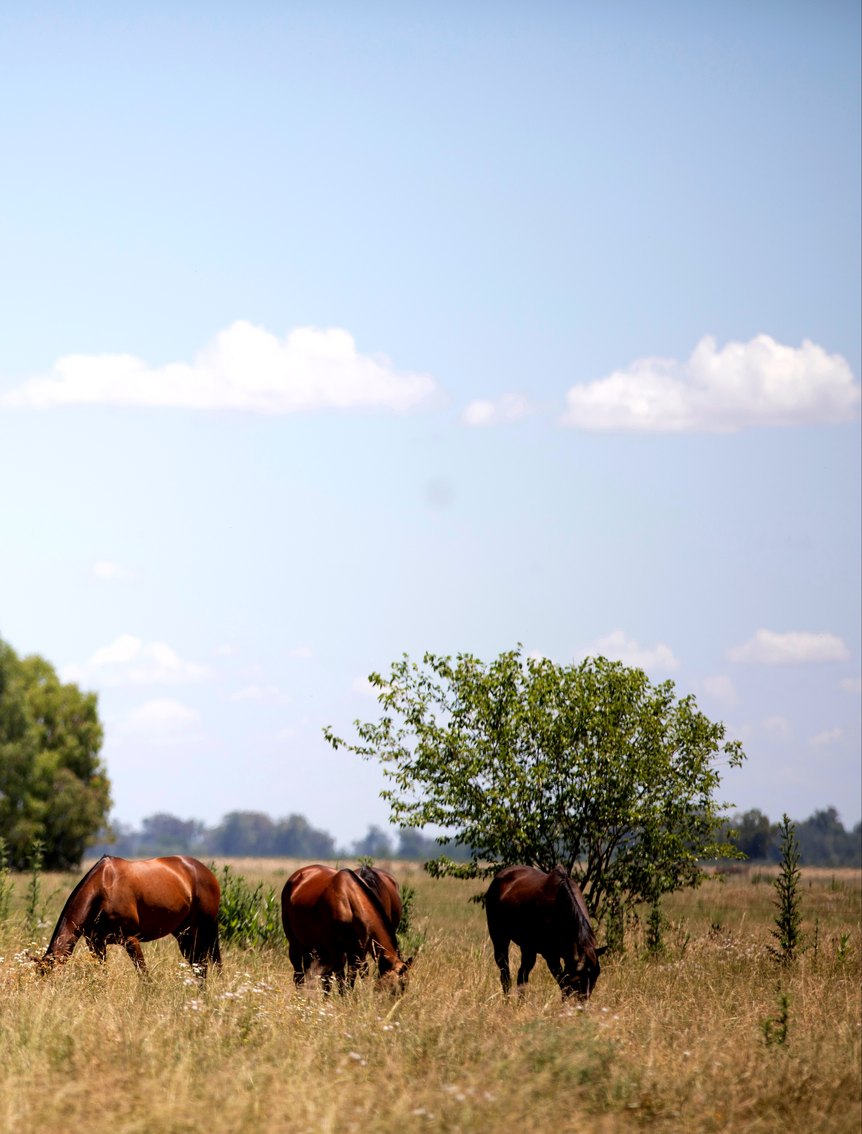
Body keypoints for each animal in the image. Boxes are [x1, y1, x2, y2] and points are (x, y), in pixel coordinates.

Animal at [38, 855, 222, 977]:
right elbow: (102, 974)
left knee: (212, 963)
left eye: (51, 976)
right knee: (198, 964)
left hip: (206, 928)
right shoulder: (96, 944)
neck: (103, 888)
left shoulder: (131, 940)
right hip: (184, 934)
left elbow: (144, 975)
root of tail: (204, 870)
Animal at [281, 864, 412, 994]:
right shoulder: (336, 951)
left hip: (312, 947)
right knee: (299, 976)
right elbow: (339, 978)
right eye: (396, 986)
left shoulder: (356, 951)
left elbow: (350, 977)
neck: (349, 900)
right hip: (296, 945)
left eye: (404, 986)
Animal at [485, 864, 606, 1000]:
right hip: (500, 939)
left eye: (595, 976)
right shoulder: (551, 956)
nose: (583, 1001)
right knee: (505, 974)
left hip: (527, 948)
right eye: (579, 977)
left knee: (522, 975)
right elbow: (564, 984)